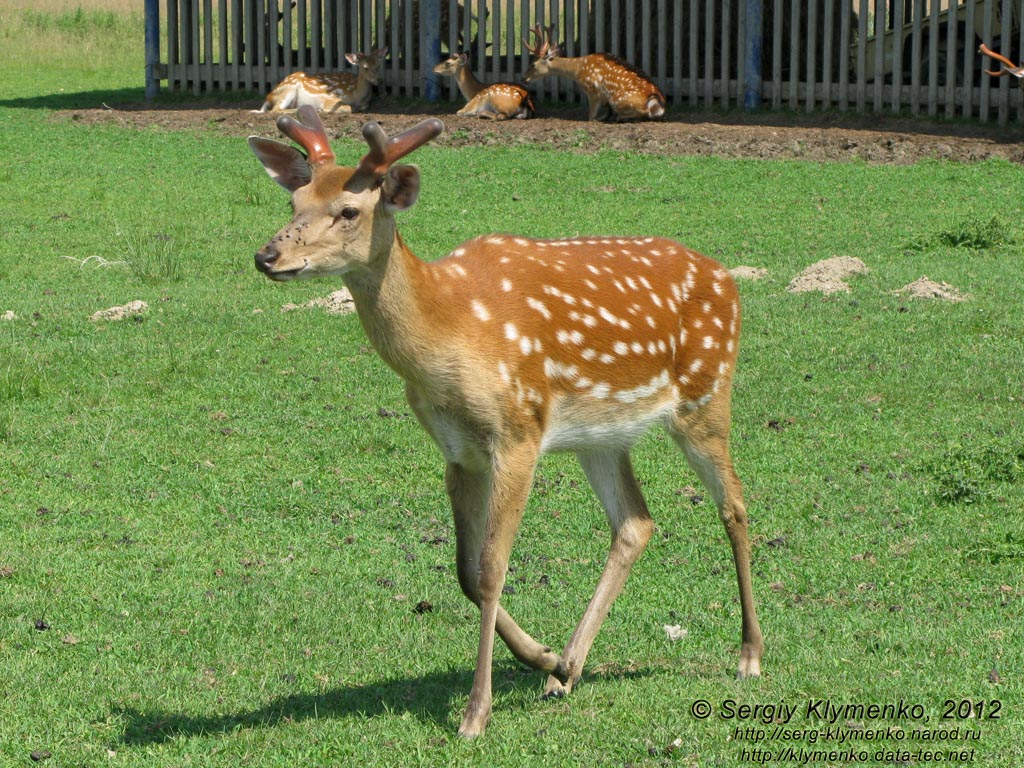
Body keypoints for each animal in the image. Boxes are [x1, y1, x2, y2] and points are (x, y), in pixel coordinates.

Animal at [245, 107, 761, 741]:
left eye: (348, 211)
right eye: (294, 200)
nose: (269, 256)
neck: (449, 333)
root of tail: (727, 279)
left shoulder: (517, 432)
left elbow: (492, 570)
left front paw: (476, 712)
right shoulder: (457, 450)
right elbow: (465, 572)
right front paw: (544, 657)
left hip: (705, 395)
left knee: (734, 505)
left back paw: (749, 654)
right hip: (602, 436)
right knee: (636, 523)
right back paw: (567, 670)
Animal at [256, 47, 387, 114]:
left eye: (378, 65)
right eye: (365, 67)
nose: (379, 80)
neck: (356, 95)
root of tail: (269, 97)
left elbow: (361, 107)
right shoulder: (330, 98)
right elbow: (347, 108)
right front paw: (323, 109)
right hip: (288, 90)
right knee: (275, 110)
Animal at [524, 24, 667, 121]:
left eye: (532, 64)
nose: (523, 78)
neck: (578, 69)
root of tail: (656, 101)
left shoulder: (592, 90)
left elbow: (590, 117)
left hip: (618, 99)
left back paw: (616, 117)